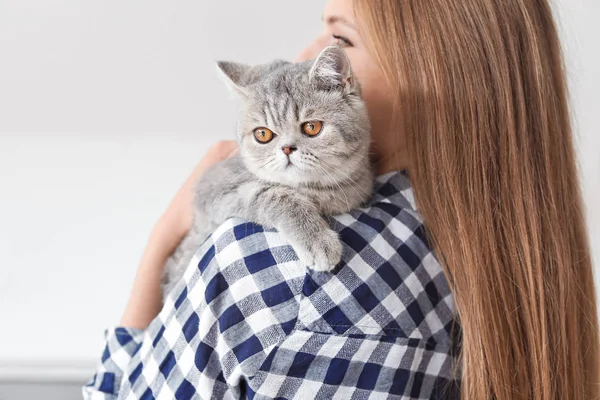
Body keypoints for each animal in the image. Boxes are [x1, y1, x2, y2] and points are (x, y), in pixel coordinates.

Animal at [162, 44, 372, 300]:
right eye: (262, 134)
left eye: (312, 127)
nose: (287, 148)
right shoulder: (215, 191)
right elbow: (276, 195)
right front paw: (317, 240)